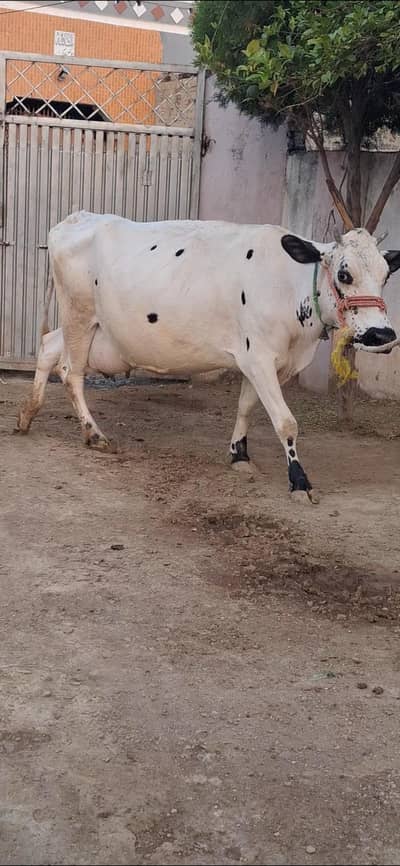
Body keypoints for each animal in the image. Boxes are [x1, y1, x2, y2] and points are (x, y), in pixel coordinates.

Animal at [16, 212, 400, 502]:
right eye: (344, 273)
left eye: (386, 274)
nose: (382, 335)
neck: (291, 286)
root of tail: (77, 217)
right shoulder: (259, 357)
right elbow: (286, 422)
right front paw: (299, 482)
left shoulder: (259, 360)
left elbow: (246, 408)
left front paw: (239, 455)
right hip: (79, 316)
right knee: (70, 371)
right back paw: (94, 435)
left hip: (88, 328)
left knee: (48, 347)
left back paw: (26, 416)